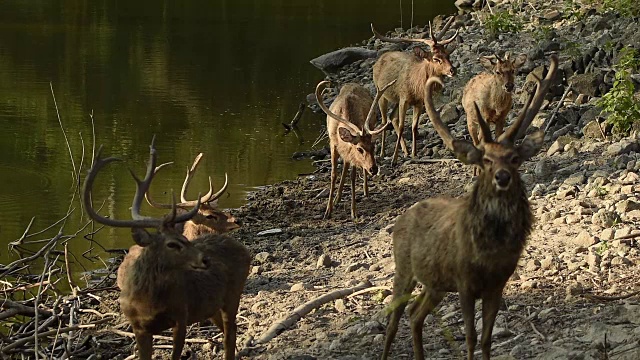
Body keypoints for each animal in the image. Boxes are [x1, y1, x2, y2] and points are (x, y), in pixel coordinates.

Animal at [86, 138, 251, 360]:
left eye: (182, 238)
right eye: (172, 244)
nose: (205, 259)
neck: (148, 304)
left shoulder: (181, 316)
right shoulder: (138, 327)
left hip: (232, 295)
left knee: (230, 331)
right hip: (213, 305)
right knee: (227, 330)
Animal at [316, 79, 396, 219]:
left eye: (373, 146)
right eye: (359, 149)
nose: (374, 169)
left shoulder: (352, 155)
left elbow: (353, 177)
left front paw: (354, 212)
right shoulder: (333, 144)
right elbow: (333, 174)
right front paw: (328, 211)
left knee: (352, 167)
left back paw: (365, 191)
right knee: (345, 166)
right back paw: (337, 198)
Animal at [372, 21, 458, 165]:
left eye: (448, 55)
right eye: (436, 58)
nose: (452, 70)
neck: (416, 87)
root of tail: (378, 60)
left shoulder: (418, 102)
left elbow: (414, 126)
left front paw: (414, 153)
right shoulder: (404, 99)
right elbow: (402, 126)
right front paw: (394, 159)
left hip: (395, 99)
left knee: (392, 117)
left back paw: (405, 151)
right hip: (381, 93)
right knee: (384, 121)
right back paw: (383, 153)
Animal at [382, 54, 556, 360]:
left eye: (514, 158)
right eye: (485, 160)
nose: (502, 177)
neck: (489, 254)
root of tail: (402, 217)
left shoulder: (497, 284)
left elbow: (486, 338)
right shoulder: (464, 282)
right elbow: (471, 337)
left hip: (435, 284)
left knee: (415, 313)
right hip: (403, 268)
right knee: (394, 319)